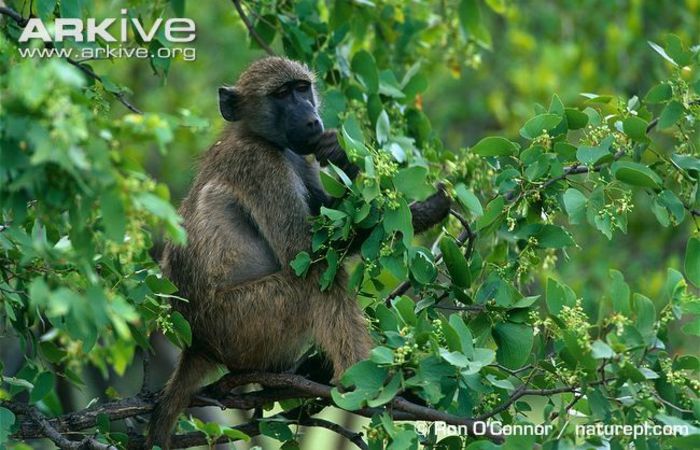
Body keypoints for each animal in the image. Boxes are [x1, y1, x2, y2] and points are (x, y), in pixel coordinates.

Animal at [147, 57, 450, 449]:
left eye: (302, 89)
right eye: (281, 94)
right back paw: (370, 387)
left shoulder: (300, 158)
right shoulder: (261, 166)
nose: (310, 119)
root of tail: (197, 345)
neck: (260, 137)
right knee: (317, 283)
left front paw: (345, 158)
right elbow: (305, 255)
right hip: (242, 322)